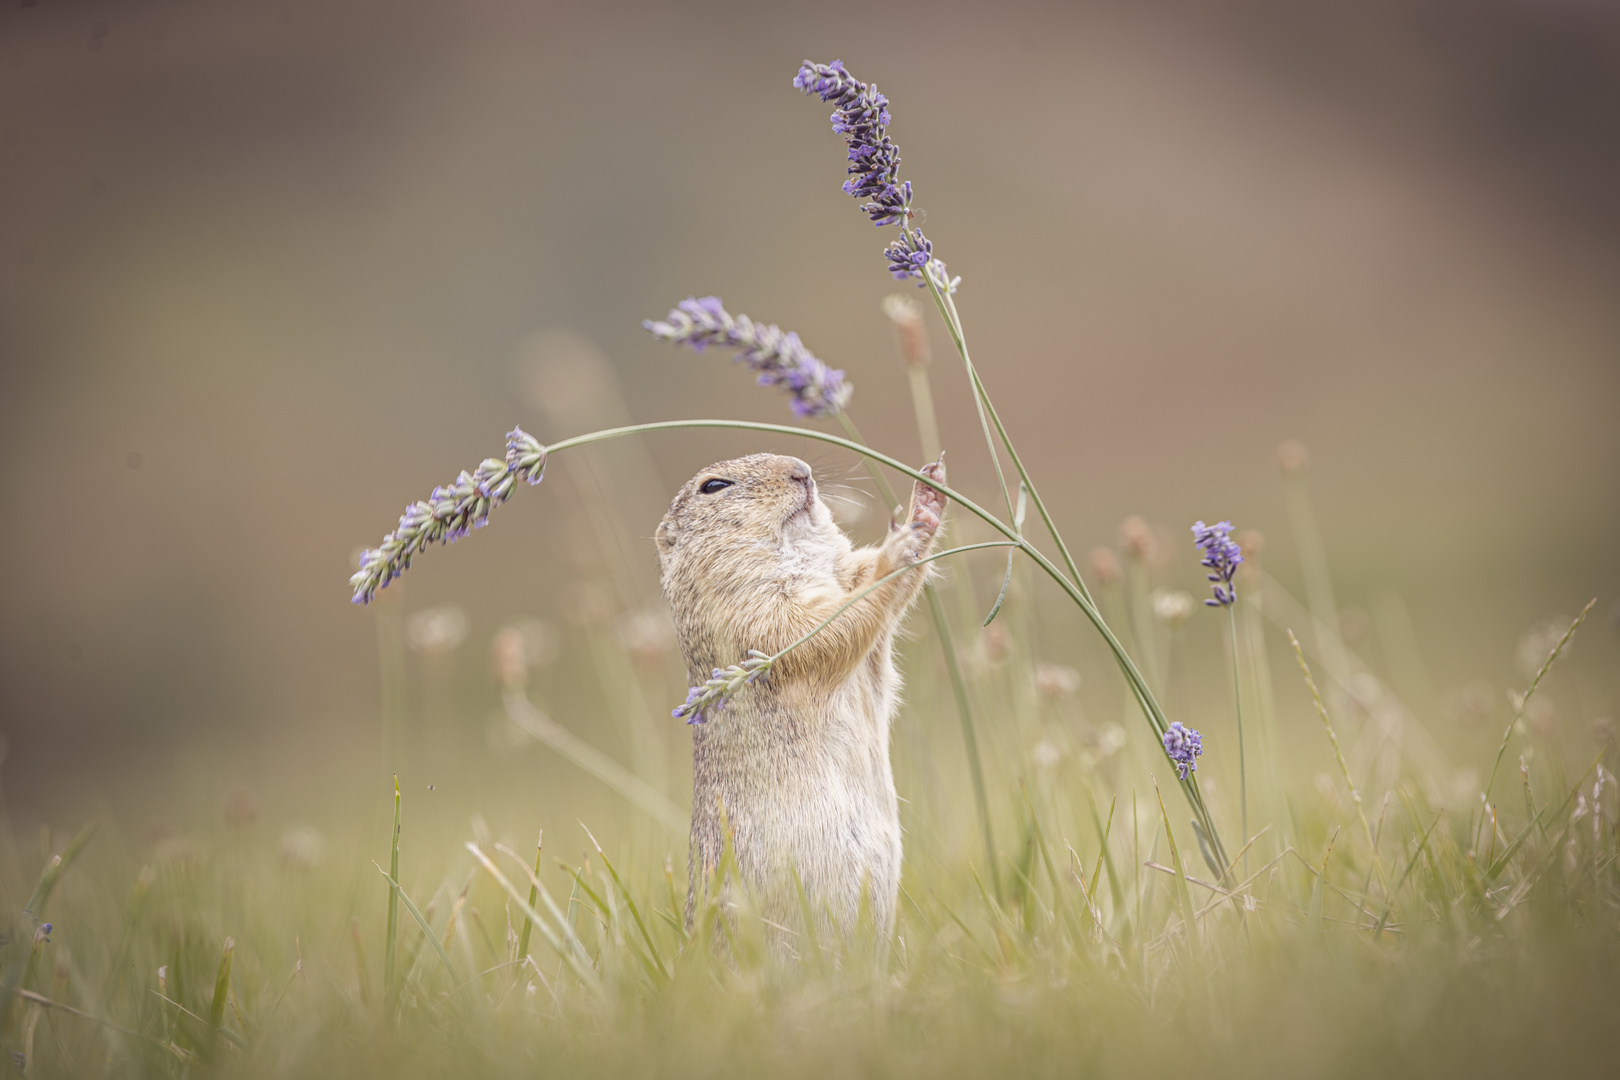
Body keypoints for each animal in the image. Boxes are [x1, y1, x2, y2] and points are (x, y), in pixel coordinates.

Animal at [651, 453, 946, 932]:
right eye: (713, 485)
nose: (802, 470)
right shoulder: (759, 622)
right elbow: (829, 624)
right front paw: (899, 547)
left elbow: (864, 596)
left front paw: (927, 503)